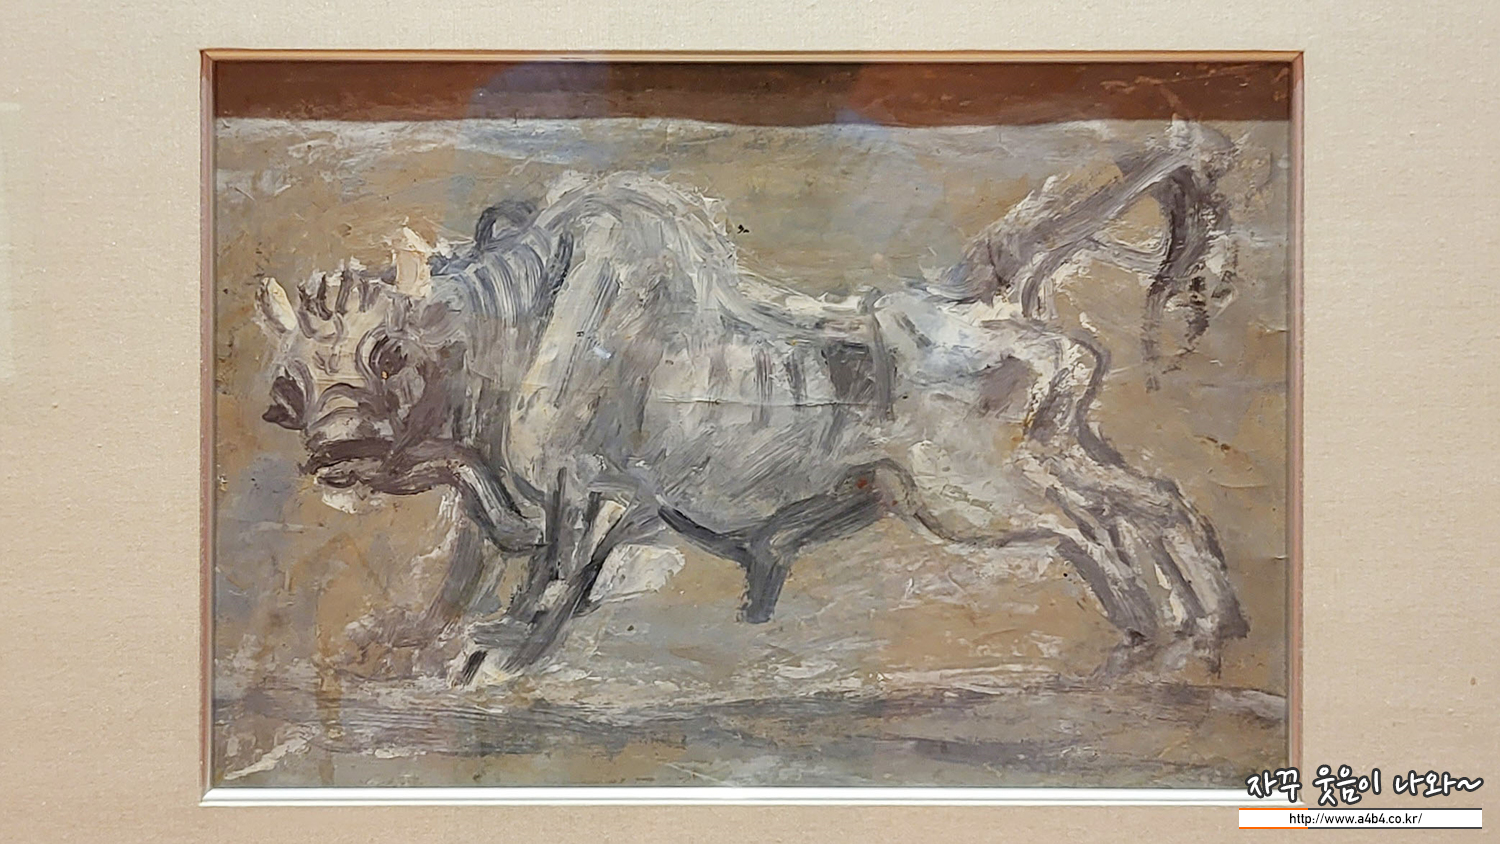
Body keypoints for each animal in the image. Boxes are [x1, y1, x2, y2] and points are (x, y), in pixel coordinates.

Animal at [253, 124, 1249, 687]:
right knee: (1144, 507)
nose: (333, 447)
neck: (511, 334)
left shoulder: (597, 491)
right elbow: (466, 572)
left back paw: (1167, 631)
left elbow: (551, 582)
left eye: (389, 351)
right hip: (1034, 462)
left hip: (974, 495)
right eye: (287, 386)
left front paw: (491, 662)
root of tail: (978, 297)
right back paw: (1187, 631)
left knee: (1109, 519)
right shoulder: (502, 501)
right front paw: (405, 644)